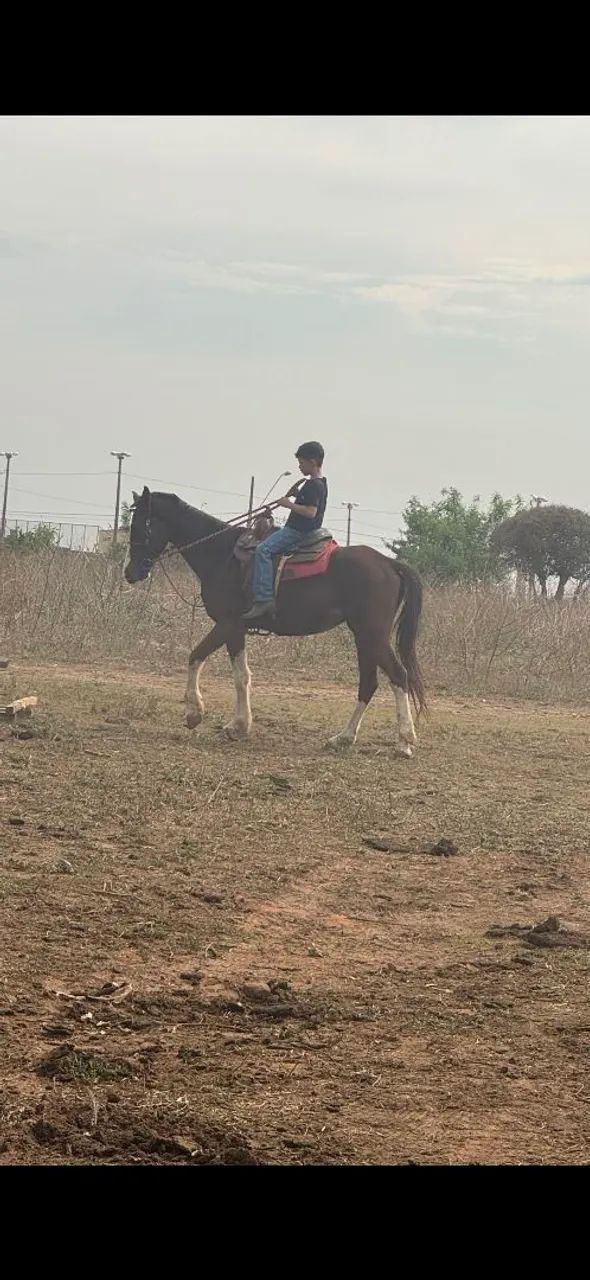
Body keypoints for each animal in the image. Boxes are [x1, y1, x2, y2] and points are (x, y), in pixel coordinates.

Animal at [124, 487, 425, 754]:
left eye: (140, 526)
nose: (130, 572)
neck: (221, 555)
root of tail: (389, 564)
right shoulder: (236, 630)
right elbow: (242, 676)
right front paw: (239, 725)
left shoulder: (227, 623)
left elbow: (196, 656)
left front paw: (195, 714)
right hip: (364, 638)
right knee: (369, 683)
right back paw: (343, 738)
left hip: (372, 635)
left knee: (398, 675)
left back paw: (404, 742)